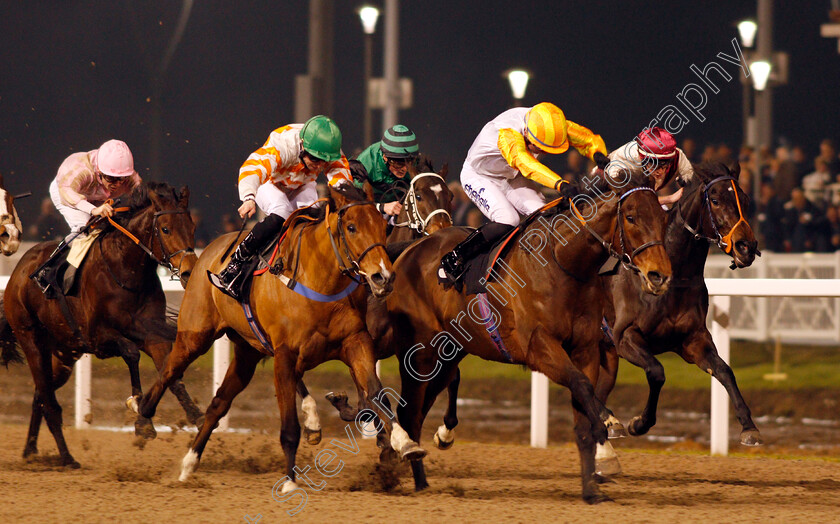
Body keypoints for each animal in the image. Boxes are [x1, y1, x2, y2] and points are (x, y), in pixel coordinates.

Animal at [0, 182, 199, 468]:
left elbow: (169, 372)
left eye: (192, 227)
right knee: (49, 401)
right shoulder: (98, 338)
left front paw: (196, 415)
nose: (188, 272)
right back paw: (67, 457)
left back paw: (30, 449)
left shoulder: (151, 333)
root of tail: (18, 272)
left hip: (63, 353)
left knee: (41, 393)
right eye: (165, 229)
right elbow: (132, 353)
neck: (126, 270)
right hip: (31, 339)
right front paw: (142, 419)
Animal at [136, 182, 426, 490]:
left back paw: (189, 464)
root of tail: (204, 254)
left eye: (383, 227)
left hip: (247, 354)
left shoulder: (356, 342)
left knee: (218, 404)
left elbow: (377, 393)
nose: (384, 277)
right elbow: (289, 427)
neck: (321, 284)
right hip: (195, 335)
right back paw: (142, 416)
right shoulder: (285, 355)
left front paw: (405, 442)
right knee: (168, 371)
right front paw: (289, 482)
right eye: (351, 227)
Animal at [370, 171, 672, 504]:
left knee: (420, 409)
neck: (563, 261)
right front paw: (607, 429)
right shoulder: (540, 348)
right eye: (630, 217)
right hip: (420, 353)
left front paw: (592, 487)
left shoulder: (586, 349)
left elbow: (584, 409)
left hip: (449, 354)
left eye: (663, 217)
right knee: (409, 411)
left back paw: (416, 473)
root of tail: (410, 251)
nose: (660, 275)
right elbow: (582, 386)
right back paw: (407, 466)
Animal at [596, 161, 760, 470]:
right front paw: (639, 423)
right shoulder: (624, 337)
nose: (746, 247)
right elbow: (657, 371)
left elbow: (725, 370)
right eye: (716, 200)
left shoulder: (692, 340)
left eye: (744, 200)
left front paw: (749, 427)